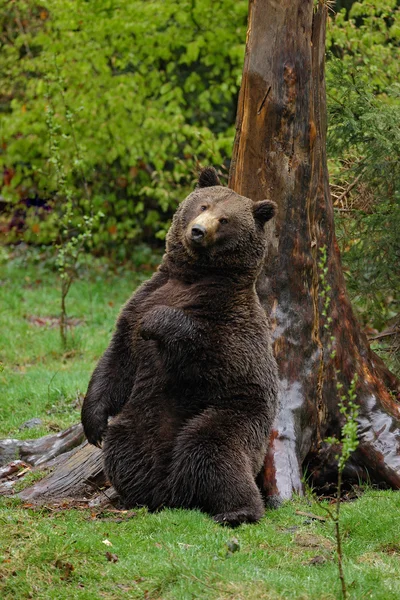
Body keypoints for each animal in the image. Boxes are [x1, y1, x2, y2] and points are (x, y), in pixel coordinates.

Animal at [81, 168, 278, 524]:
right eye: (203, 204)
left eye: (225, 219)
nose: (197, 231)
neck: (191, 277)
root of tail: (177, 492)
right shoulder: (141, 299)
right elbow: (117, 360)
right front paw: (93, 424)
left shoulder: (230, 321)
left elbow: (214, 352)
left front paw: (155, 322)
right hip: (141, 422)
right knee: (123, 447)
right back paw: (139, 494)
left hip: (237, 416)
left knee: (214, 449)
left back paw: (237, 510)